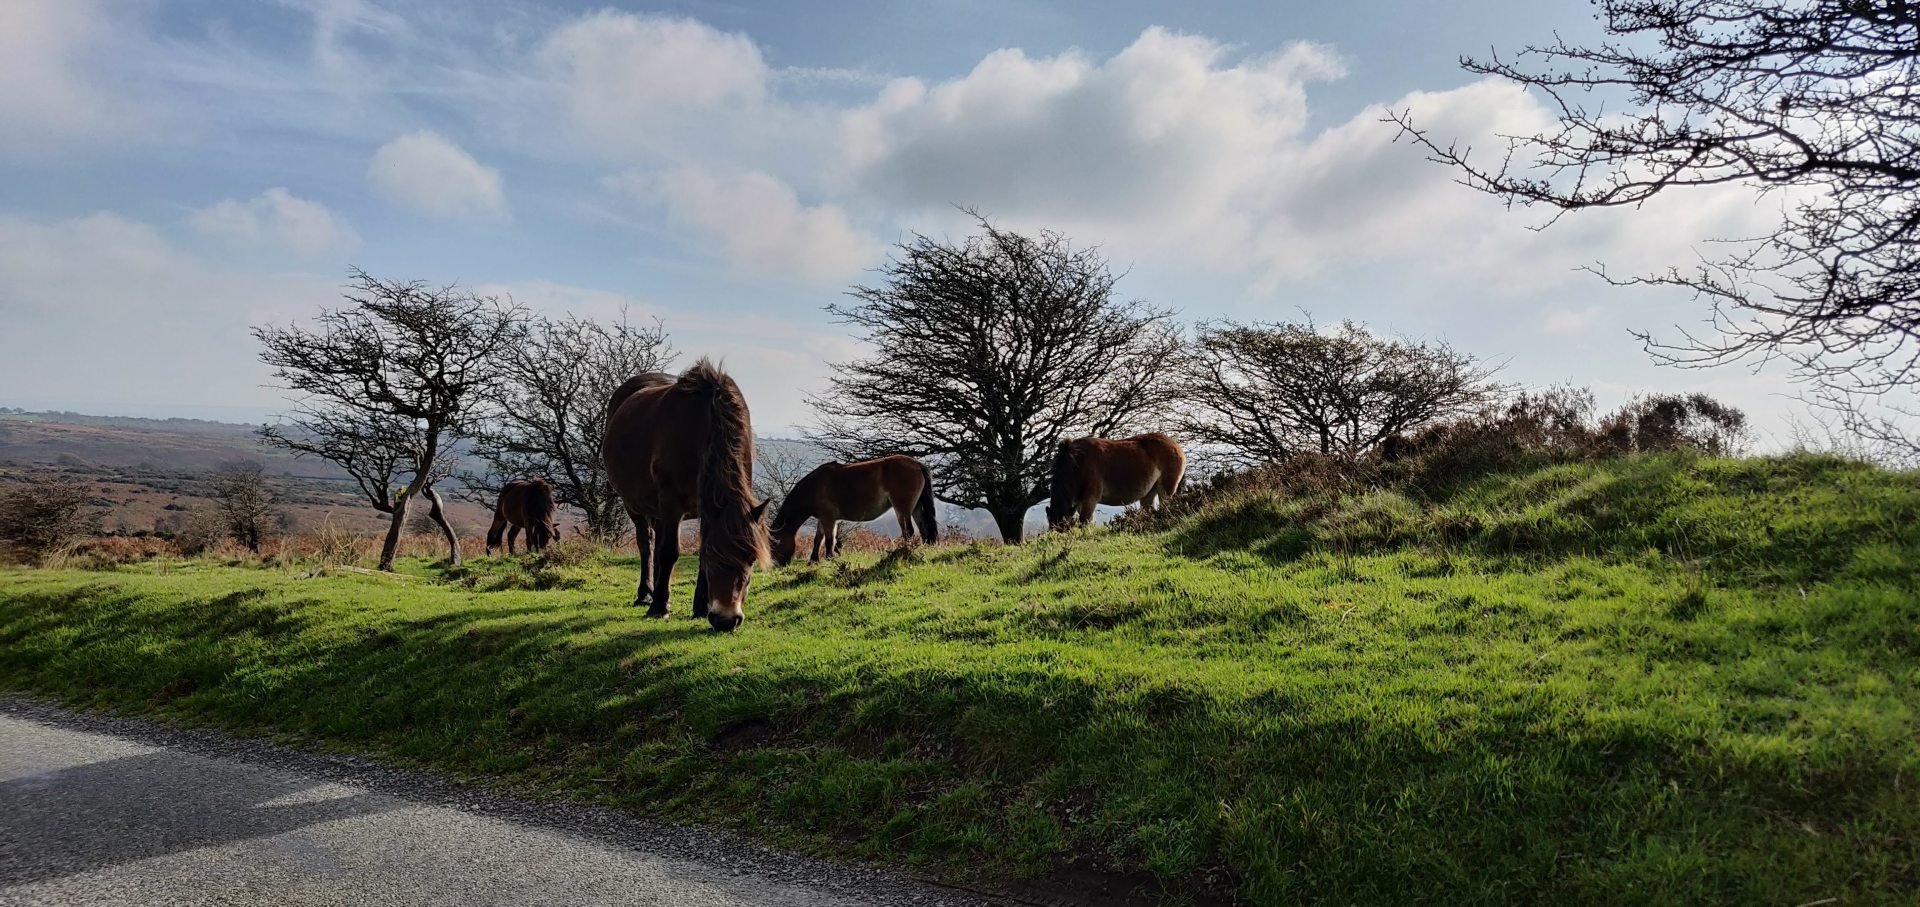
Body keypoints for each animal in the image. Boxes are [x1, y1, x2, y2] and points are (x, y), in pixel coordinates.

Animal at [602, 360, 769, 632]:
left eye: (751, 558)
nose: (726, 620)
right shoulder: (672, 502)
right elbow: (670, 551)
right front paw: (659, 608)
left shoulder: (704, 508)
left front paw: (699, 607)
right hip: (634, 504)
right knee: (647, 543)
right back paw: (646, 595)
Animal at [767, 455, 937, 566]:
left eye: (774, 544)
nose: (775, 565)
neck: (813, 487)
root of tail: (917, 464)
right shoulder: (823, 518)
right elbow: (818, 539)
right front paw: (813, 560)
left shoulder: (829, 518)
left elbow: (829, 540)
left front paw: (829, 558)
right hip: (915, 508)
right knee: (923, 529)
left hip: (902, 508)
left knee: (908, 531)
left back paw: (905, 551)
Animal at [1045, 432, 1186, 530]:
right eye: (1051, 527)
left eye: (1064, 527)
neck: (1078, 463)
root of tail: (1176, 446)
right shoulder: (1080, 503)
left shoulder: (1090, 500)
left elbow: (1084, 523)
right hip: (1149, 493)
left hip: (1166, 491)